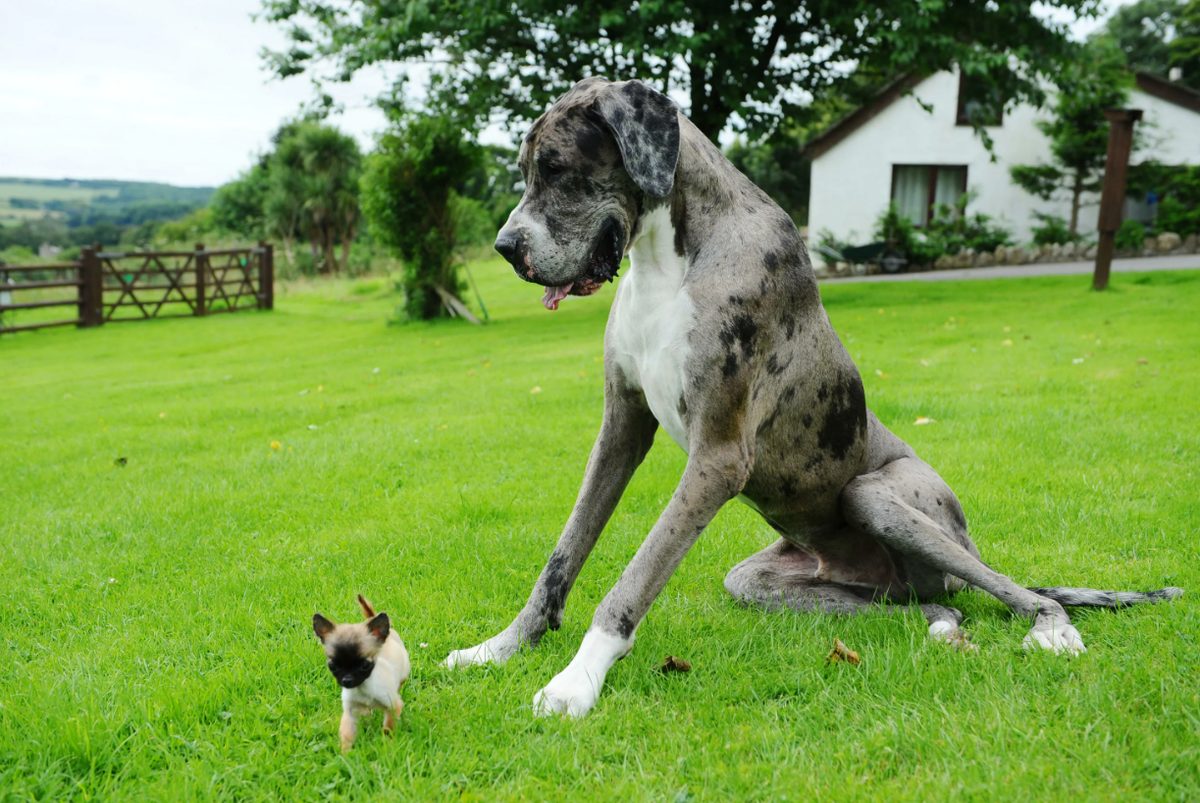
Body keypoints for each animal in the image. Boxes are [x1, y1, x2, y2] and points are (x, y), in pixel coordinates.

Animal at [312, 588, 410, 753]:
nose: (347, 680)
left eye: (364, 665)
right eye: (333, 666)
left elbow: (388, 729)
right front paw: (345, 754)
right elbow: (346, 735)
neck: (363, 688)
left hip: (404, 673)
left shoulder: (393, 706)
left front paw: (387, 746)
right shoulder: (350, 713)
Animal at [444, 76, 1180, 715]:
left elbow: (636, 576)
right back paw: (942, 624)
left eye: (559, 168)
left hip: (877, 496)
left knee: (1011, 589)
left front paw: (576, 681)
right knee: (929, 605)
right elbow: (563, 553)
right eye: (526, 170)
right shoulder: (620, 429)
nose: (505, 246)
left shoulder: (717, 457)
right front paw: (499, 647)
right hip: (762, 581)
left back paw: (1052, 628)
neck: (669, 258)